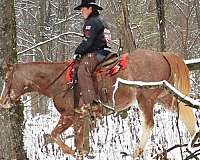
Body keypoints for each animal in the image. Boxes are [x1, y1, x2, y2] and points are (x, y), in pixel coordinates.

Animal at [0, 48, 197, 159]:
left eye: (6, 79)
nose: (3, 102)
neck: (59, 82)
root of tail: (162, 55)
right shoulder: (80, 117)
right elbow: (79, 143)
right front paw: (80, 154)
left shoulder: (69, 116)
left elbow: (55, 135)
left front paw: (71, 152)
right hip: (164, 97)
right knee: (186, 113)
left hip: (145, 98)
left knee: (149, 124)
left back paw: (136, 153)